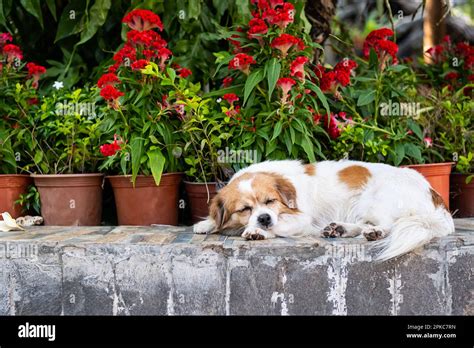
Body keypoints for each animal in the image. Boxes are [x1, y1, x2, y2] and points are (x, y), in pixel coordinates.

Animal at [193, 159, 456, 260]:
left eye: (270, 202)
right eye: (245, 208)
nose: (265, 218)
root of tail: (435, 197)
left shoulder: (301, 219)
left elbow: (278, 227)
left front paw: (258, 232)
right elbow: (217, 220)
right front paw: (207, 223)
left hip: (376, 198)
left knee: (388, 224)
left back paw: (375, 232)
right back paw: (339, 229)